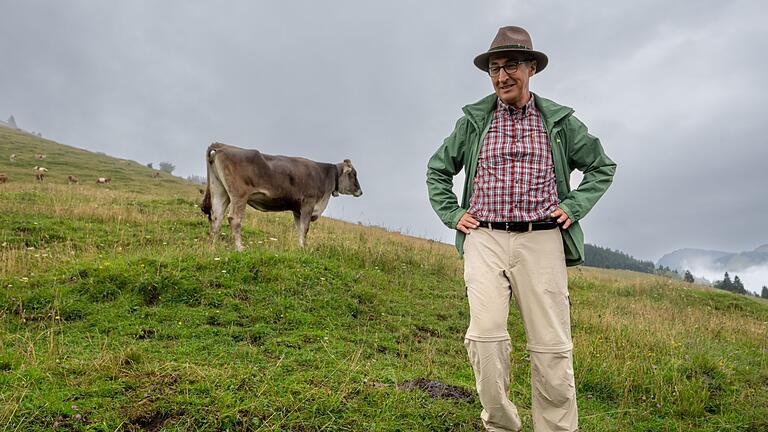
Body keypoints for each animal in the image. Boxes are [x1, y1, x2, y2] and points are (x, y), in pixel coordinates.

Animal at [201, 142, 364, 250]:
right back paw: (239, 248)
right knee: (234, 218)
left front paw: (300, 248)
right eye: (354, 174)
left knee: (216, 216)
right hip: (239, 195)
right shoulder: (308, 203)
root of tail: (221, 146)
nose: (361, 191)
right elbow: (305, 228)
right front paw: (304, 249)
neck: (325, 175)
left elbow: (299, 229)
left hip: (220, 191)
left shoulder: (297, 209)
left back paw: (212, 246)